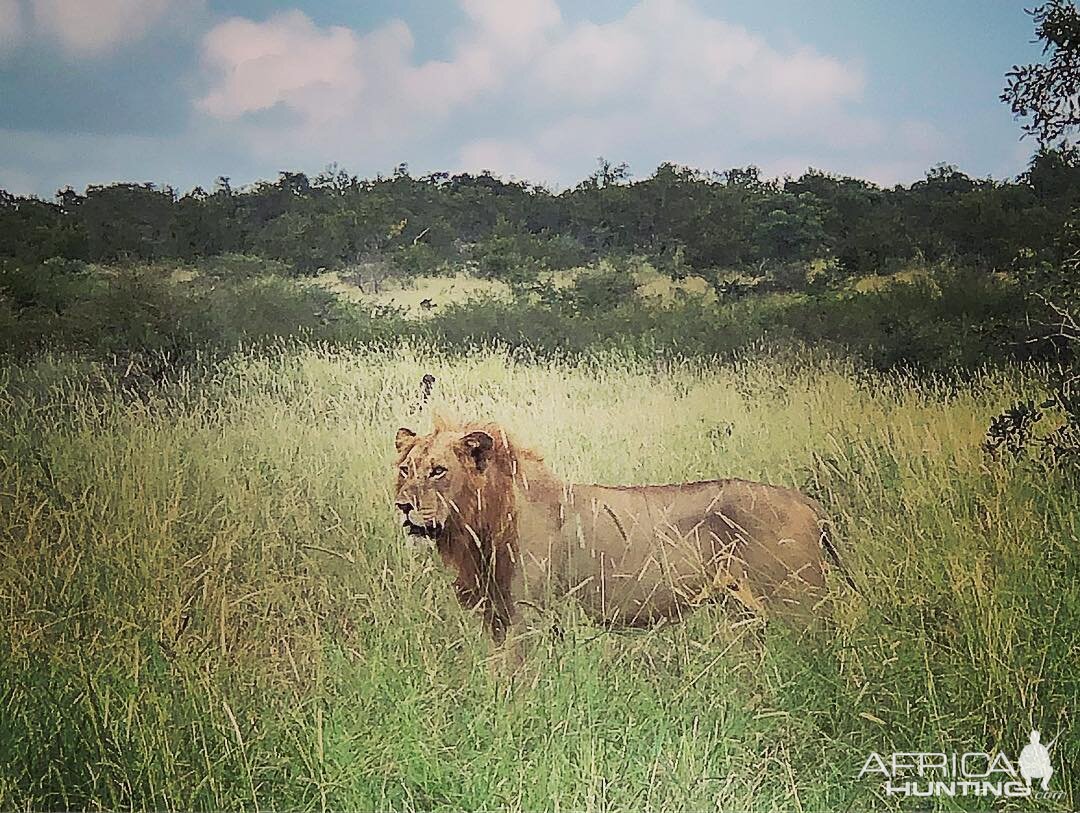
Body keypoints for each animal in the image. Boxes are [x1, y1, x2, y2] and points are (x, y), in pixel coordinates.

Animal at [390, 414, 851, 652]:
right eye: (405, 470)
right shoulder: (500, 618)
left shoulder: (529, 616)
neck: (477, 527)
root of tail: (807, 502)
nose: (403, 506)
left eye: (438, 471)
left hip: (798, 603)